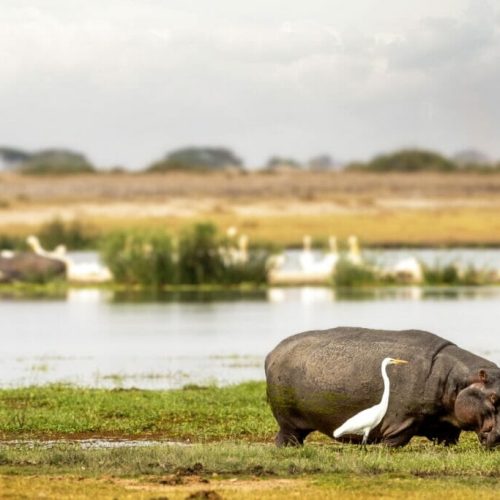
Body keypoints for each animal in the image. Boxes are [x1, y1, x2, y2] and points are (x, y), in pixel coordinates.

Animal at [266, 328, 500, 450]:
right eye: (494, 398)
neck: (457, 379)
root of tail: (272, 352)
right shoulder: (400, 422)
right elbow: (395, 441)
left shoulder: (446, 426)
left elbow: (448, 441)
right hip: (288, 422)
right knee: (286, 437)